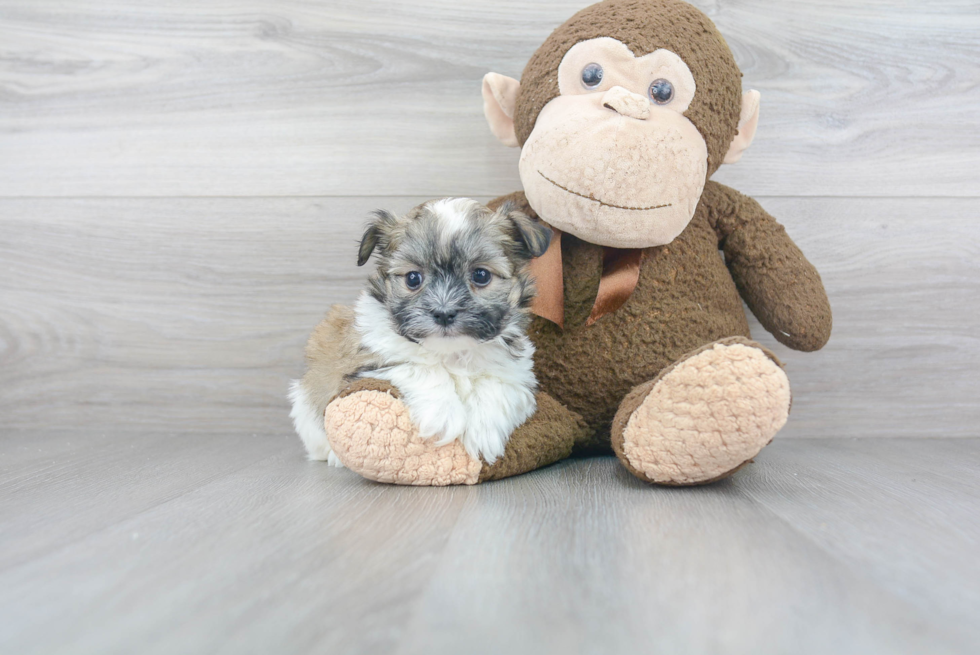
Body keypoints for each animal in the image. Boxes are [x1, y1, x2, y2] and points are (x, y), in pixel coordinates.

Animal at [290, 199, 552, 466]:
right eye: (413, 278)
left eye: (481, 275)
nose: (444, 313)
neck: (452, 352)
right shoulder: (369, 357)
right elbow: (419, 367)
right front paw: (443, 414)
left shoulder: (516, 372)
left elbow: (496, 385)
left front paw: (483, 432)